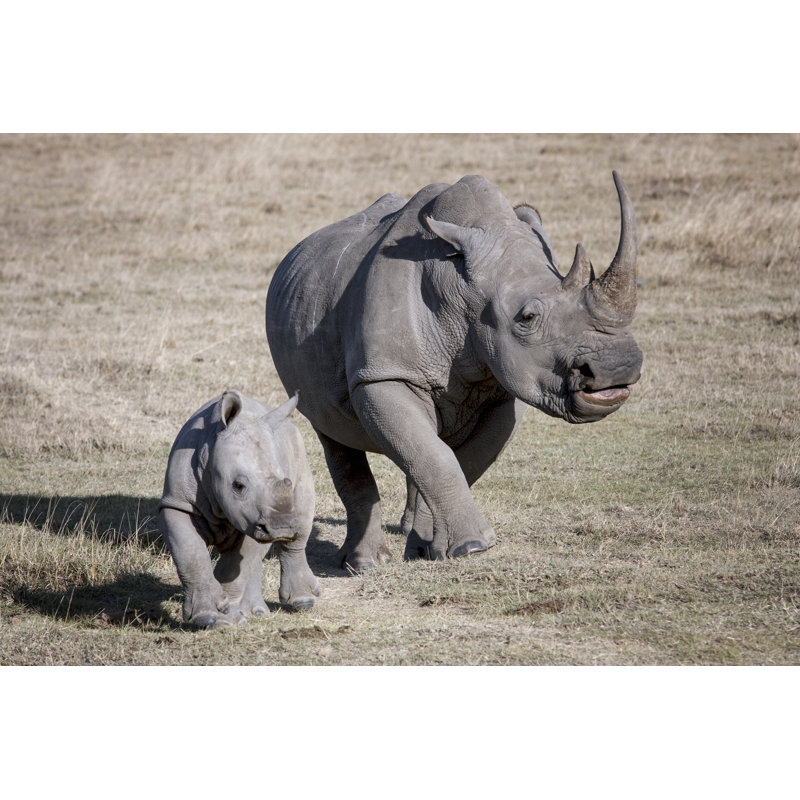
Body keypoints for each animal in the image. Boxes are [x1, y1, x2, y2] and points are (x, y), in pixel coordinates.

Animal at [158, 389, 319, 628]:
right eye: (238, 485)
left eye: (286, 482)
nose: (281, 528)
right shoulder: (177, 503)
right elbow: (191, 555)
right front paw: (211, 617)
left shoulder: (256, 520)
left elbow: (236, 568)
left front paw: (228, 616)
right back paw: (256, 611)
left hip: (299, 450)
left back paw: (302, 602)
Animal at [265, 172, 642, 570]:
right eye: (527, 318)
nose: (616, 369)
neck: (462, 294)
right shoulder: (383, 374)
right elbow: (438, 458)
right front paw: (474, 547)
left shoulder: (505, 391)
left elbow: (459, 461)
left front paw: (428, 550)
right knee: (334, 434)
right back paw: (365, 564)